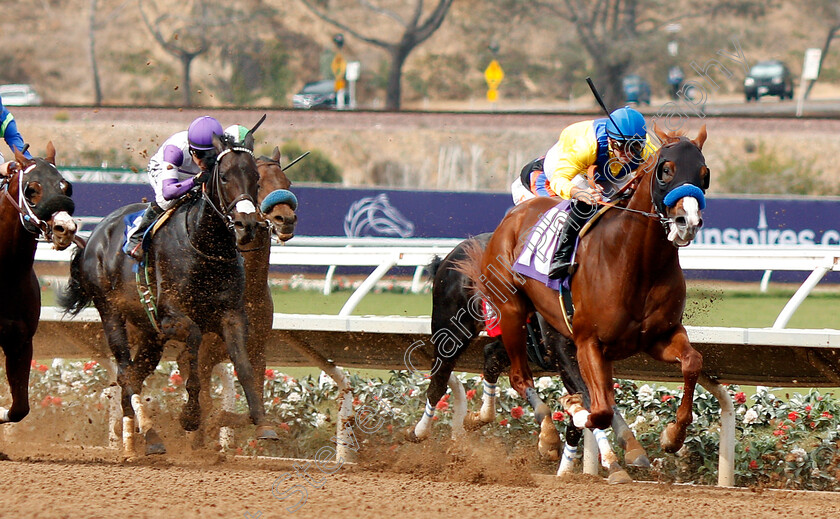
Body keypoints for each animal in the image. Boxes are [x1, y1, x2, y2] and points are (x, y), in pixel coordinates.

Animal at [410, 234, 648, 482]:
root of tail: (449, 256)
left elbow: (584, 411)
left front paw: (567, 468)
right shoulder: (565, 356)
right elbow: (590, 405)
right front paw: (614, 464)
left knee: (491, 356)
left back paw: (481, 416)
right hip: (451, 331)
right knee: (438, 382)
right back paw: (419, 431)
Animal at [462, 128, 712, 458]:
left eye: (704, 174)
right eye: (666, 170)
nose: (688, 222)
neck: (638, 262)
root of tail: (514, 215)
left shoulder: (659, 336)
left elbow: (692, 362)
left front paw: (673, 435)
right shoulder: (587, 342)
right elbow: (601, 408)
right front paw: (575, 410)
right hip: (512, 311)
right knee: (518, 376)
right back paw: (546, 435)